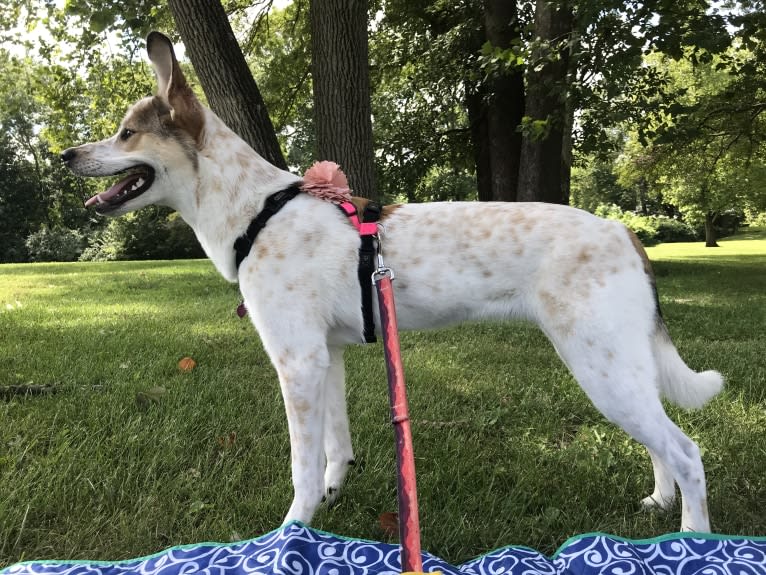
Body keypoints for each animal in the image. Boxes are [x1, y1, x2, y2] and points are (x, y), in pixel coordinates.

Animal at [61, 32, 728, 536]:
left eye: (126, 133)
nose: (65, 155)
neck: (258, 212)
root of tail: (625, 230)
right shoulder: (325, 358)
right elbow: (335, 450)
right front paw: (330, 500)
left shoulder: (297, 362)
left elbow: (302, 467)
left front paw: (290, 533)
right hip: (618, 368)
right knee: (661, 443)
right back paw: (659, 505)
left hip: (601, 367)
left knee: (687, 452)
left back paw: (691, 541)